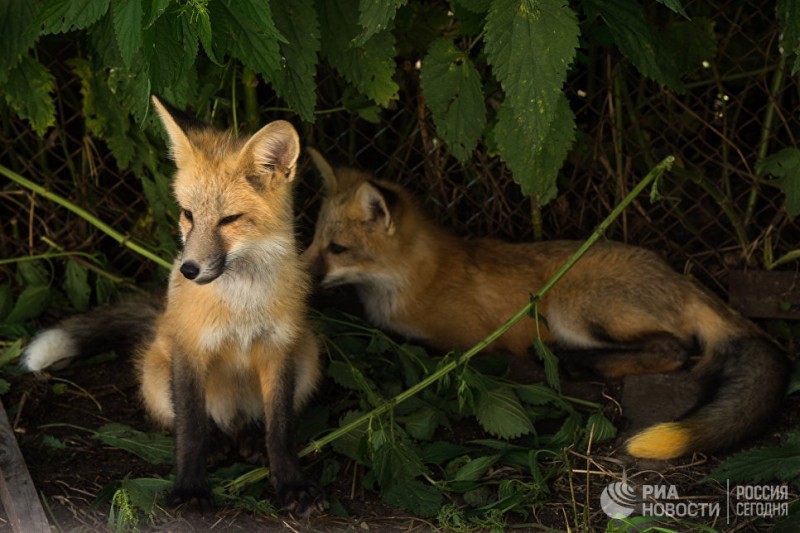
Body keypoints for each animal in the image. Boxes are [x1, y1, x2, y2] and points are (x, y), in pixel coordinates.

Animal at [25, 96, 324, 516]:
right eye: (188, 214)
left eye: (229, 220)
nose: (189, 269)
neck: (241, 305)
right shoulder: (190, 347)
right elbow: (191, 430)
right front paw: (190, 489)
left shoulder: (279, 348)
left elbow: (280, 429)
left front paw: (291, 484)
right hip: (154, 373)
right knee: (199, 423)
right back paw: (219, 444)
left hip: (308, 354)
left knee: (254, 421)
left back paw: (249, 438)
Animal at [304, 148, 792, 460]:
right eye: (311, 240)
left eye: (338, 249)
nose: (300, 278)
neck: (412, 280)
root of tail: (680, 277)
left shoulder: (467, 340)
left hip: (570, 306)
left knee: (674, 351)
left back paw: (577, 362)